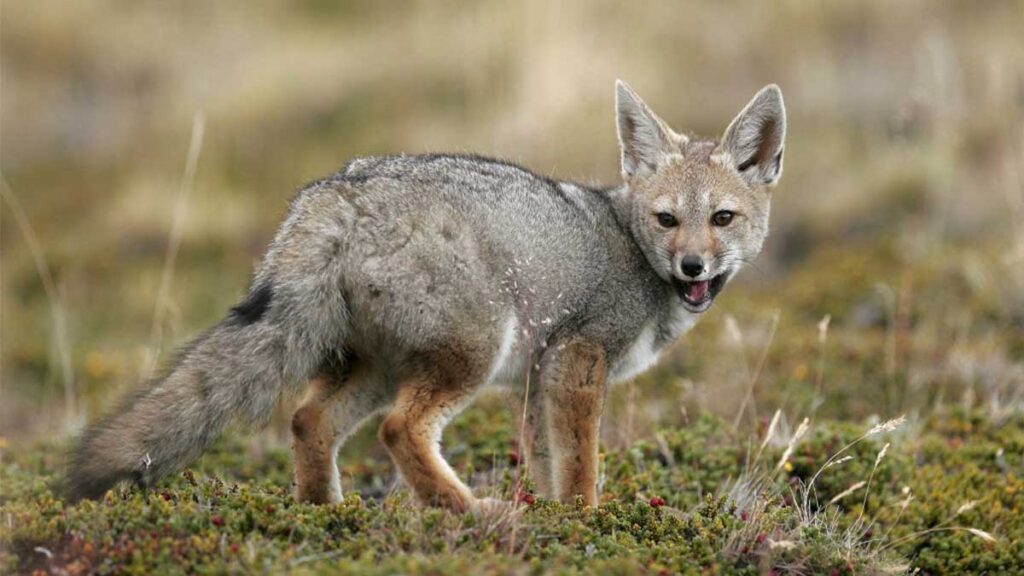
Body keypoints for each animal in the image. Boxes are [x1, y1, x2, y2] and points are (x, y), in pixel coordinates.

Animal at [66, 80, 786, 512]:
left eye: (722, 219)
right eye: (667, 220)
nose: (692, 265)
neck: (628, 240)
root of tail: (340, 191)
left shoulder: (538, 376)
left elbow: (545, 461)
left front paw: (549, 518)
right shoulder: (579, 358)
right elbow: (579, 464)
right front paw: (582, 521)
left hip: (380, 368)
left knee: (308, 420)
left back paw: (324, 514)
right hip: (467, 355)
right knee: (399, 430)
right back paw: (469, 512)